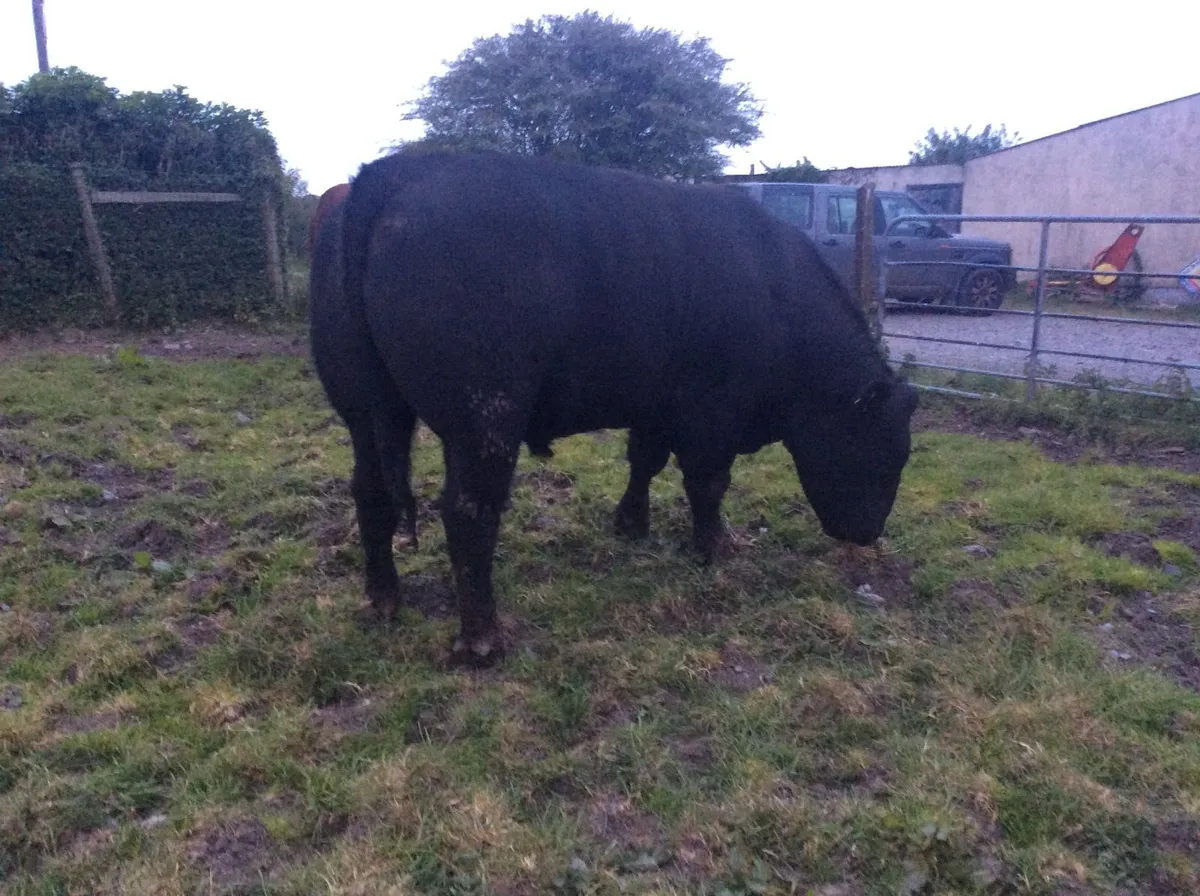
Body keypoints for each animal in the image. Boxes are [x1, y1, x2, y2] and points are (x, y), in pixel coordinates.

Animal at [317, 150, 918, 667]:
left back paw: (384, 598)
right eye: (885, 454)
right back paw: (482, 640)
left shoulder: (654, 403)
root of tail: (398, 172)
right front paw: (714, 548)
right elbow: (707, 484)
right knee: (468, 513)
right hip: (484, 420)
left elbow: (643, 461)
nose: (869, 534)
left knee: (370, 492)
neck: (777, 295)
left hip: (364, 414)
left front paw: (631, 523)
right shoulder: (712, 414)